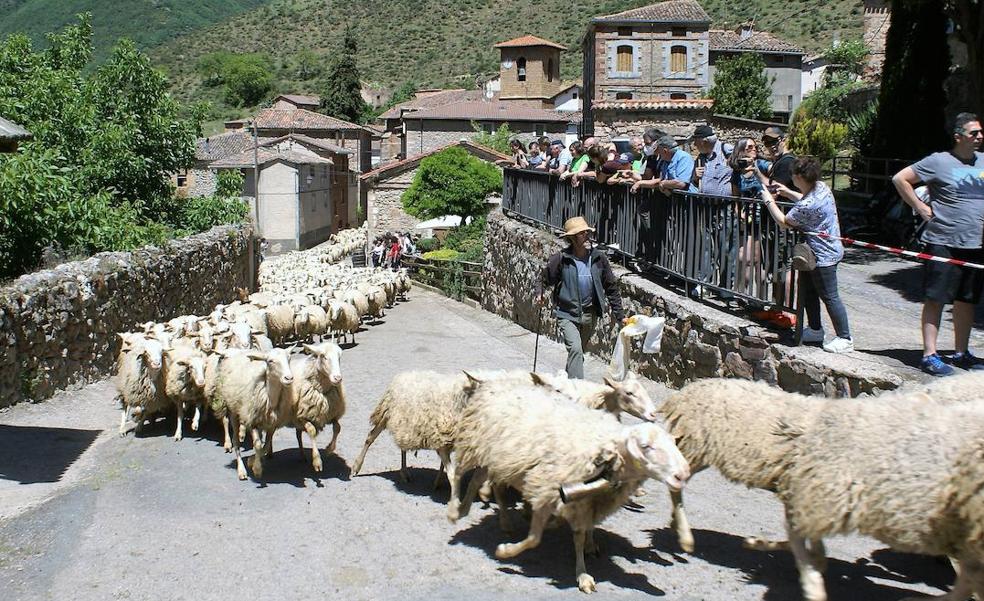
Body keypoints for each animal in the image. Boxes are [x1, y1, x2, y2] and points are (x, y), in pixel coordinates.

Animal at [213, 346, 294, 478]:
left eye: (289, 358)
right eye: (270, 361)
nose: (289, 378)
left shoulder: (272, 423)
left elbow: (265, 445)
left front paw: (253, 460)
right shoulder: (252, 420)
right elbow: (257, 445)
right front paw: (256, 468)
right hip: (233, 409)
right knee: (234, 438)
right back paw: (241, 469)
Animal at [450, 378, 688, 592]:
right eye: (645, 446)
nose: (682, 475)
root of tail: (497, 384)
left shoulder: (584, 504)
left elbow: (579, 537)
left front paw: (582, 573)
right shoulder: (546, 491)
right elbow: (534, 539)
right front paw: (506, 551)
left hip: (497, 457)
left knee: (479, 479)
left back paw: (477, 512)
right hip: (475, 444)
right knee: (459, 474)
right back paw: (455, 511)